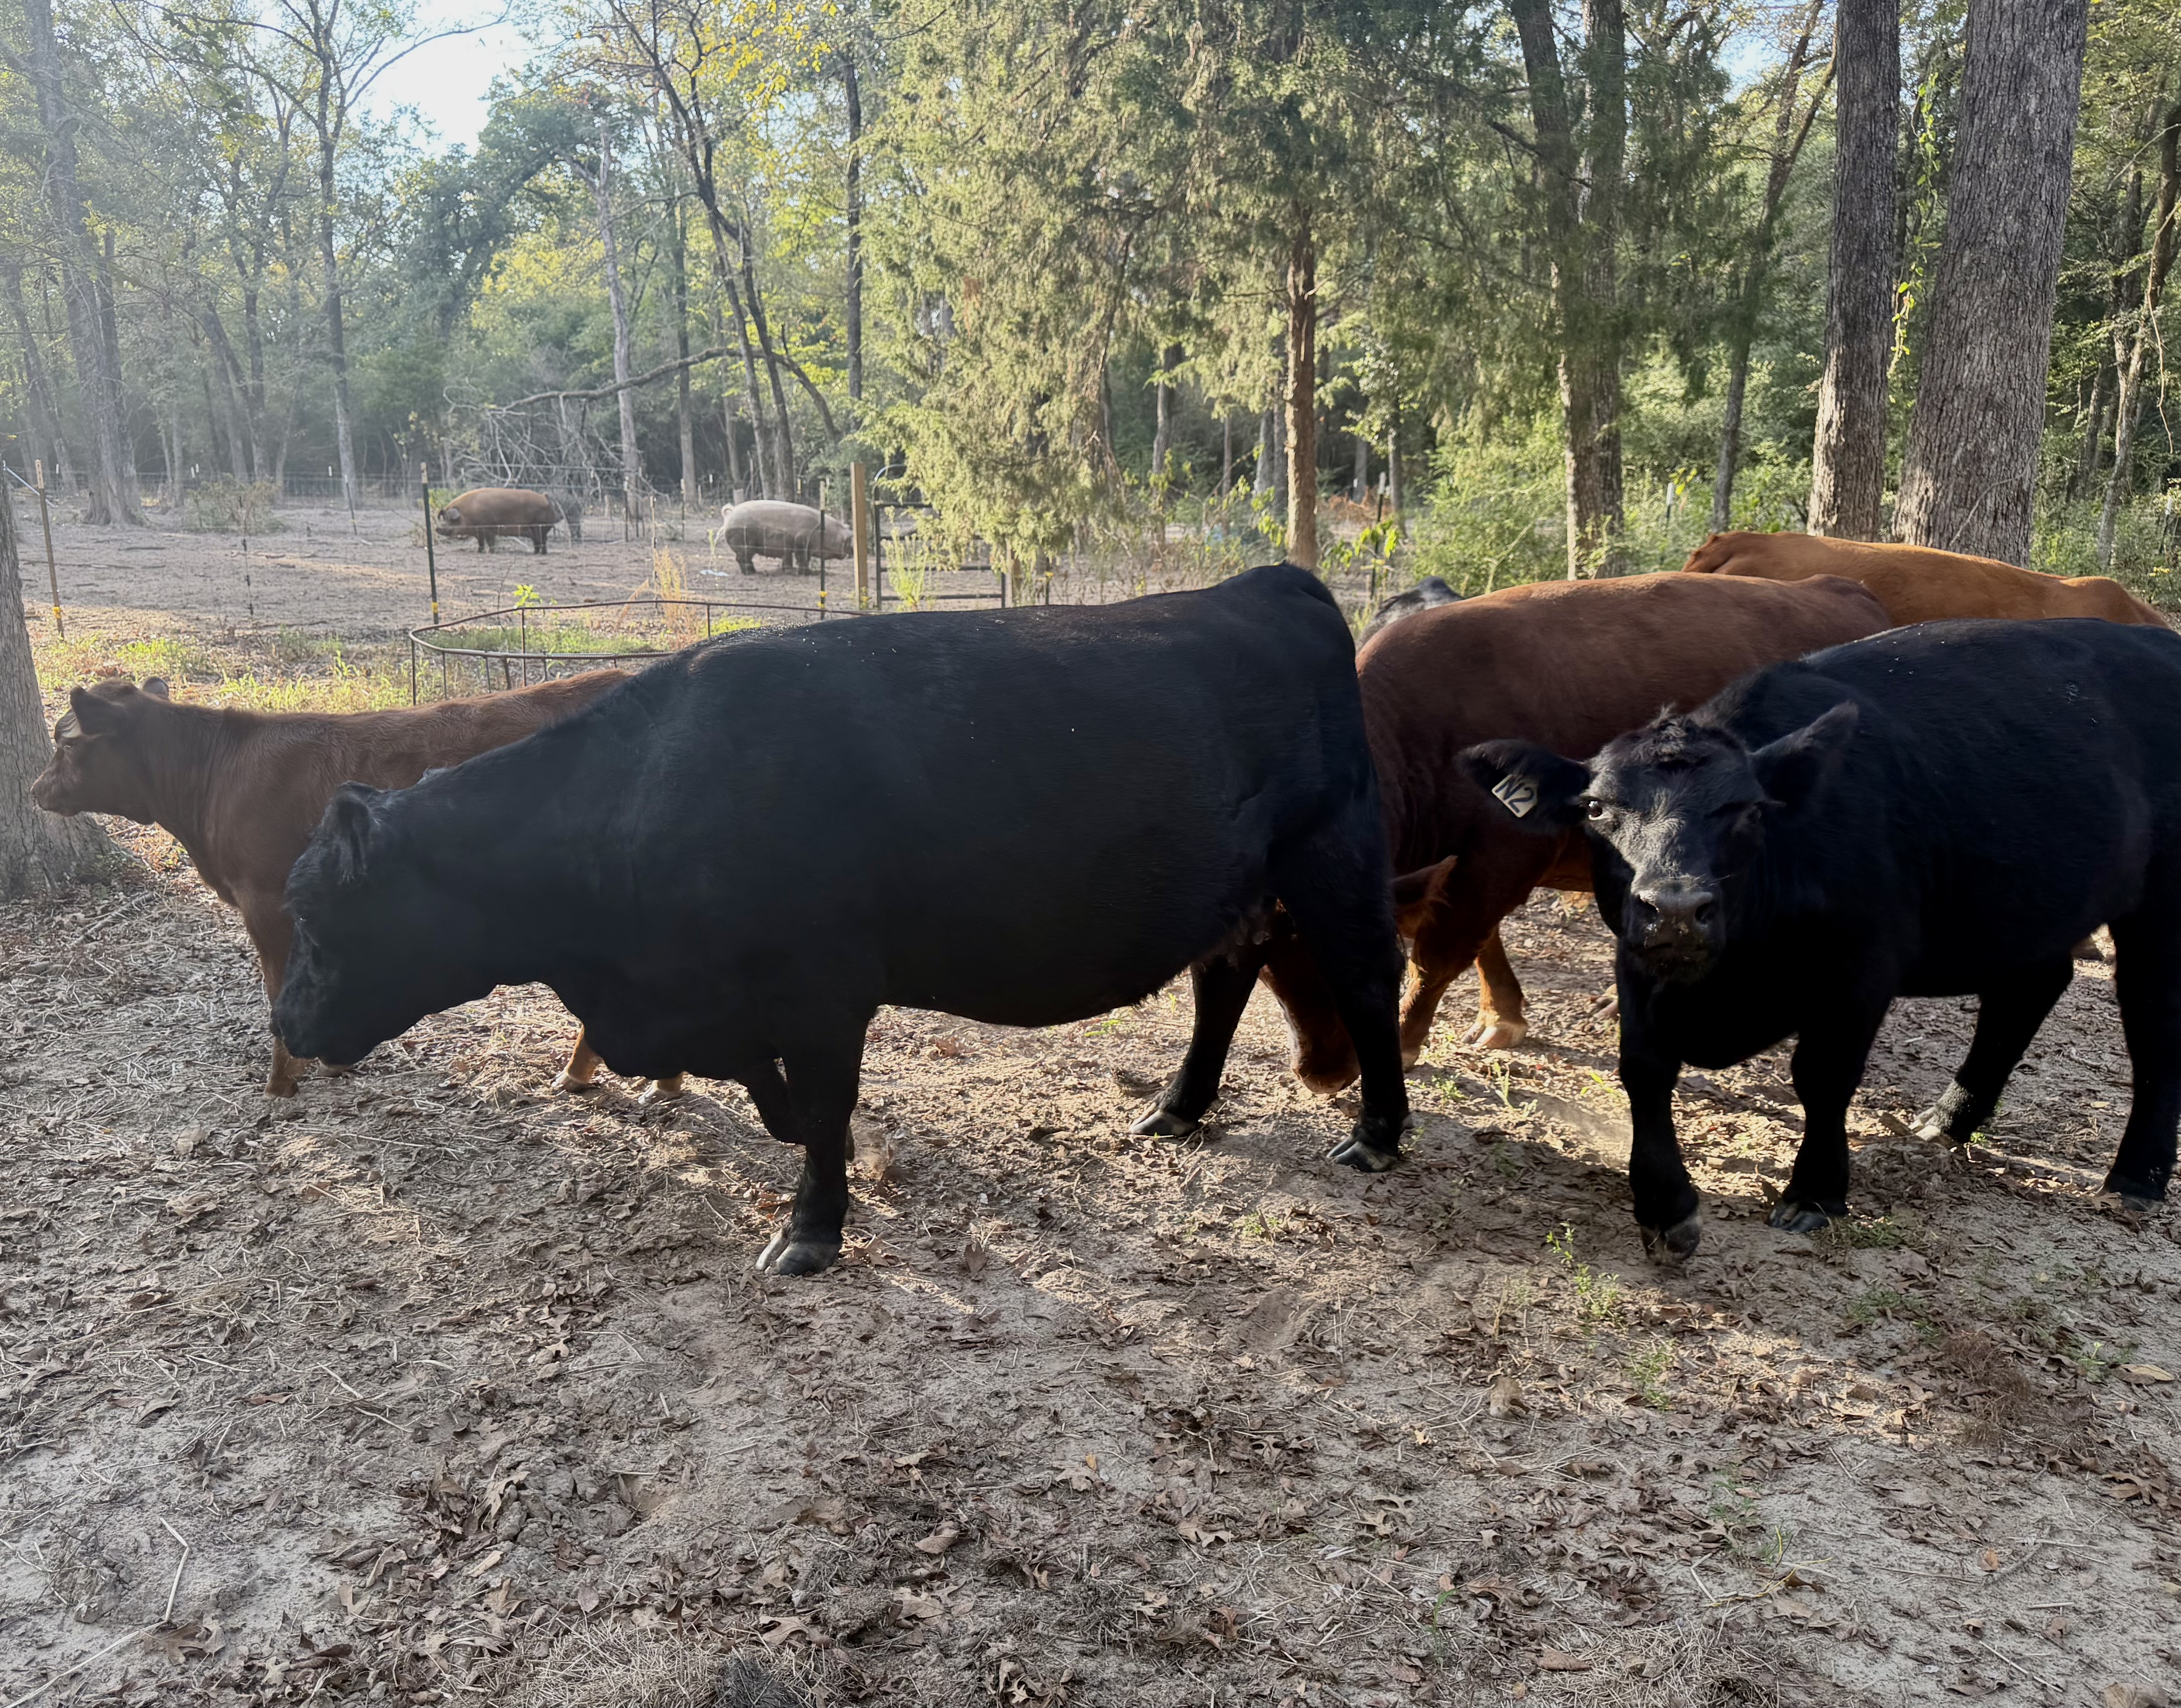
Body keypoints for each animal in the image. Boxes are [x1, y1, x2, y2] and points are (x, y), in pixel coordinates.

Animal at [30, 671, 638, 1098]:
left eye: (68, 744)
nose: (37, 789)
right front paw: (331, 1060)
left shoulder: (266, 900)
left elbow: (279, 986)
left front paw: (282, 1082)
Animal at [272, 564, 1415, 1277]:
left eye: (320, 913)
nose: (285, 1021)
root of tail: (1267, 582)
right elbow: (784, 1101)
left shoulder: (821, 990)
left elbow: (820, 1110)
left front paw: (811, 1230)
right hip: (1241, 882)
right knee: (1224, 979)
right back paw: (1177, 1109)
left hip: (1334, 852)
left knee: (1366, 980)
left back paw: (1376, 1137)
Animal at [437, 488, 564, 554]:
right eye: (444, 518)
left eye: (450, 520)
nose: (437, 528)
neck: (467, 513)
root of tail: (545, 498)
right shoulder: (479, 532)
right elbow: (481, 542)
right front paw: (479, 551)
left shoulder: (489, 528)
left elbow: (491, 541)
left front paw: (490, 552)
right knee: (539, 540)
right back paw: (536, 552)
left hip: (540, 525)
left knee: (543, 539)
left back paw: (541, 553)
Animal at [719, 500, 854, 575]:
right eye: (848, 542)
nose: (852, 553)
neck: (824, 533)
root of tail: (731, 513)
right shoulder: (801, 542)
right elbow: (802, 559)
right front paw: (806, 574)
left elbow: (802, 559)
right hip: (744, 544)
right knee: (741, 559)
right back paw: (750, 574)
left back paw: (754, 572)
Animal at [1463, 618, 2181, 1258]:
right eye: (1596, 808)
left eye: (1749, 809)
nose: (1676, 907)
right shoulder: (1638, 959)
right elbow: (1643, 1067)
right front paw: (1666, 1207)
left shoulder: (1860, 967)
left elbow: (1823, 1075)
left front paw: (1815, 1191)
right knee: (2031, 988)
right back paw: (1947, 1120)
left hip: (2158, 908)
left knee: (2152, 1025)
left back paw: (2136, 1177)